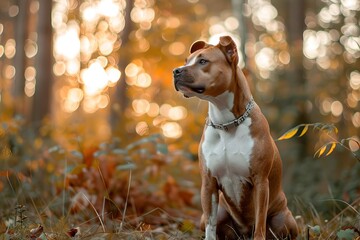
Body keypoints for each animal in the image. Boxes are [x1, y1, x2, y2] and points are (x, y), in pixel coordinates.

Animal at [173, 36, 296, 240]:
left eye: (203, 61)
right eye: (186, 61)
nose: (175, 71)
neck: (226, 123)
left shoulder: (260, 181)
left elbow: (260, 223)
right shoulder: (208, 183)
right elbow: (211, 225)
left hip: (283, 218)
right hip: (219, 213)